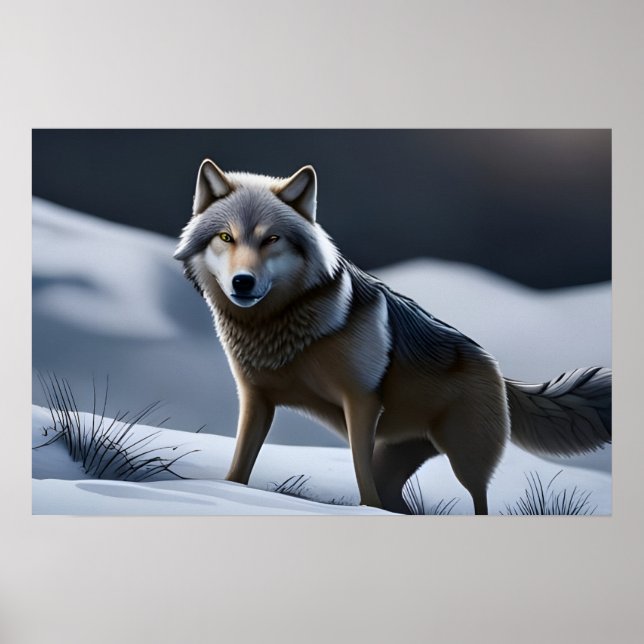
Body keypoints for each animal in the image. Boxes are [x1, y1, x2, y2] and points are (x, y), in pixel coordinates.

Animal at [174, 159, 611, 515]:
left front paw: (365, 511)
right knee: (401, 504)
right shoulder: (256, 400)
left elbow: (360, 474)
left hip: (466, 459)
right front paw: (229, 492)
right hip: (397, 461)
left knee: (478, 500)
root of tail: (497, 367)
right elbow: (239, 468)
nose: (242, 283)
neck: (279, 327)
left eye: (271, 239)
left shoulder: (362, 403)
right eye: (226, 238)